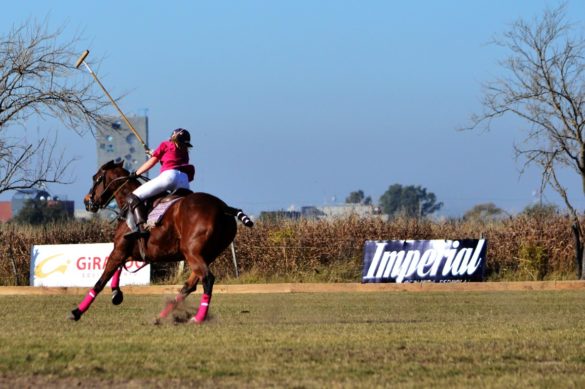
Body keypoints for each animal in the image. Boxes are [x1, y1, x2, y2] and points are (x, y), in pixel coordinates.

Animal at [68, 159, 251, 322]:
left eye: (96, 178)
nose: (87, 201)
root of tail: (223, 207)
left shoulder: (119, 250)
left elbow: (100, 281)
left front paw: (76, 312)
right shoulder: (132, 252)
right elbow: (119, 269)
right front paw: (116, 293)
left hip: (192, 252)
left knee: (207, 279)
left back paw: (198, 318)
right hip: (207, 254)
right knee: (190, 285)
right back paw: (162, 316)